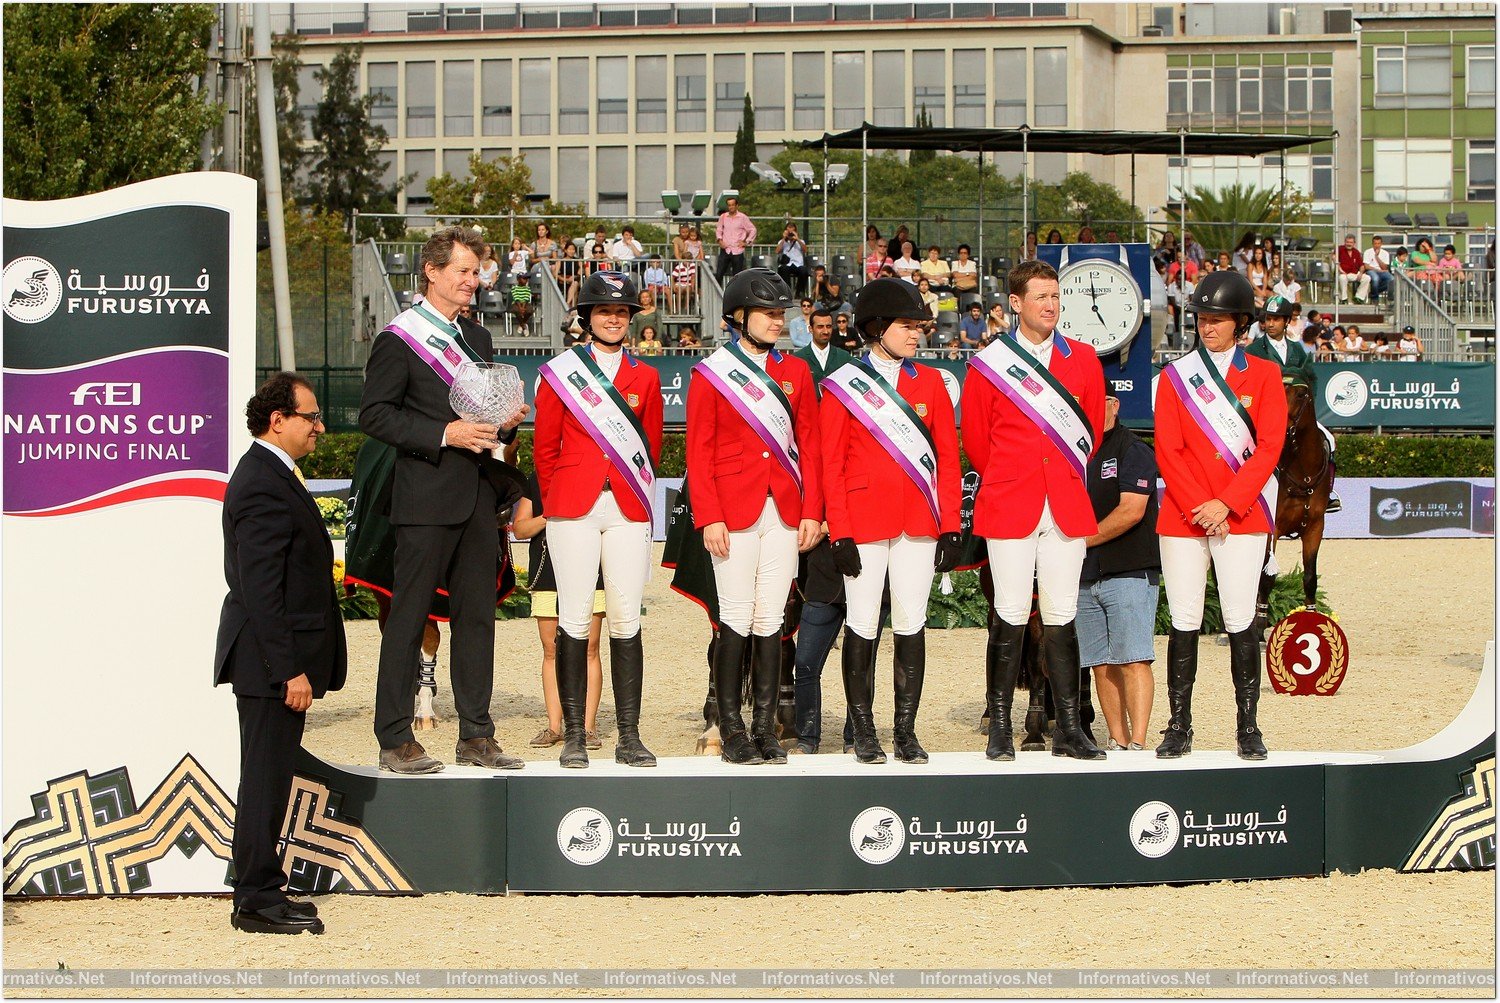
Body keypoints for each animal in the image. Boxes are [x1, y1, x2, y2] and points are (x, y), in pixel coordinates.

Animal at [1254, 379, 1338, 629]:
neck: (1304, 473)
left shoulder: (1314, 528)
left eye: (1301, 395)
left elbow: (1310, 578)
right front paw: (1259, 625)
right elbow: (1266, 578)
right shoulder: (1273, 529)